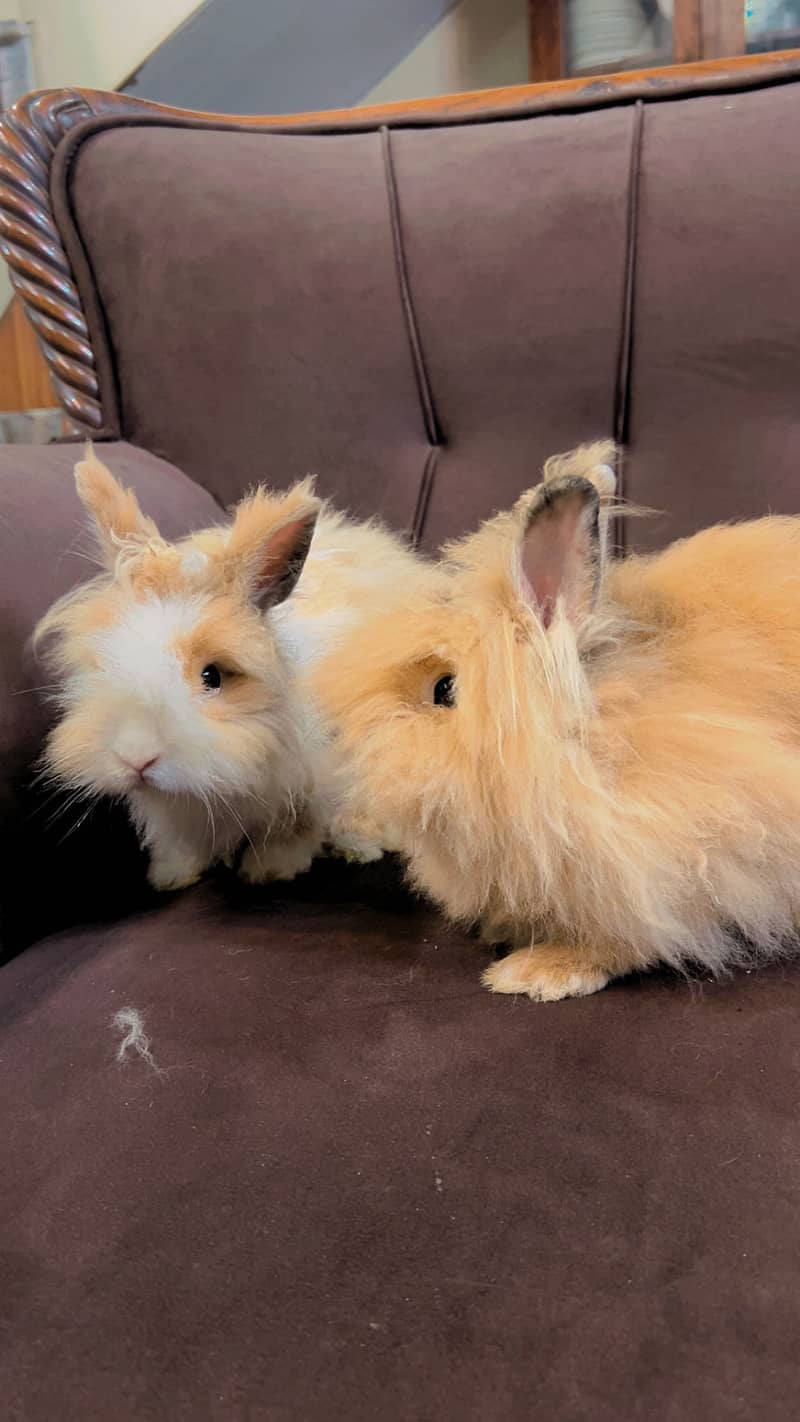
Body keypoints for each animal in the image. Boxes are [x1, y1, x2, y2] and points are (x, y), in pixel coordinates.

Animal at [35, 447, 420, 891]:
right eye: (104, 664)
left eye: (212, 676)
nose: (135, 758)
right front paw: (170, 875)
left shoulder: (309, 776)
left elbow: (294, 828)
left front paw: (270, 870)